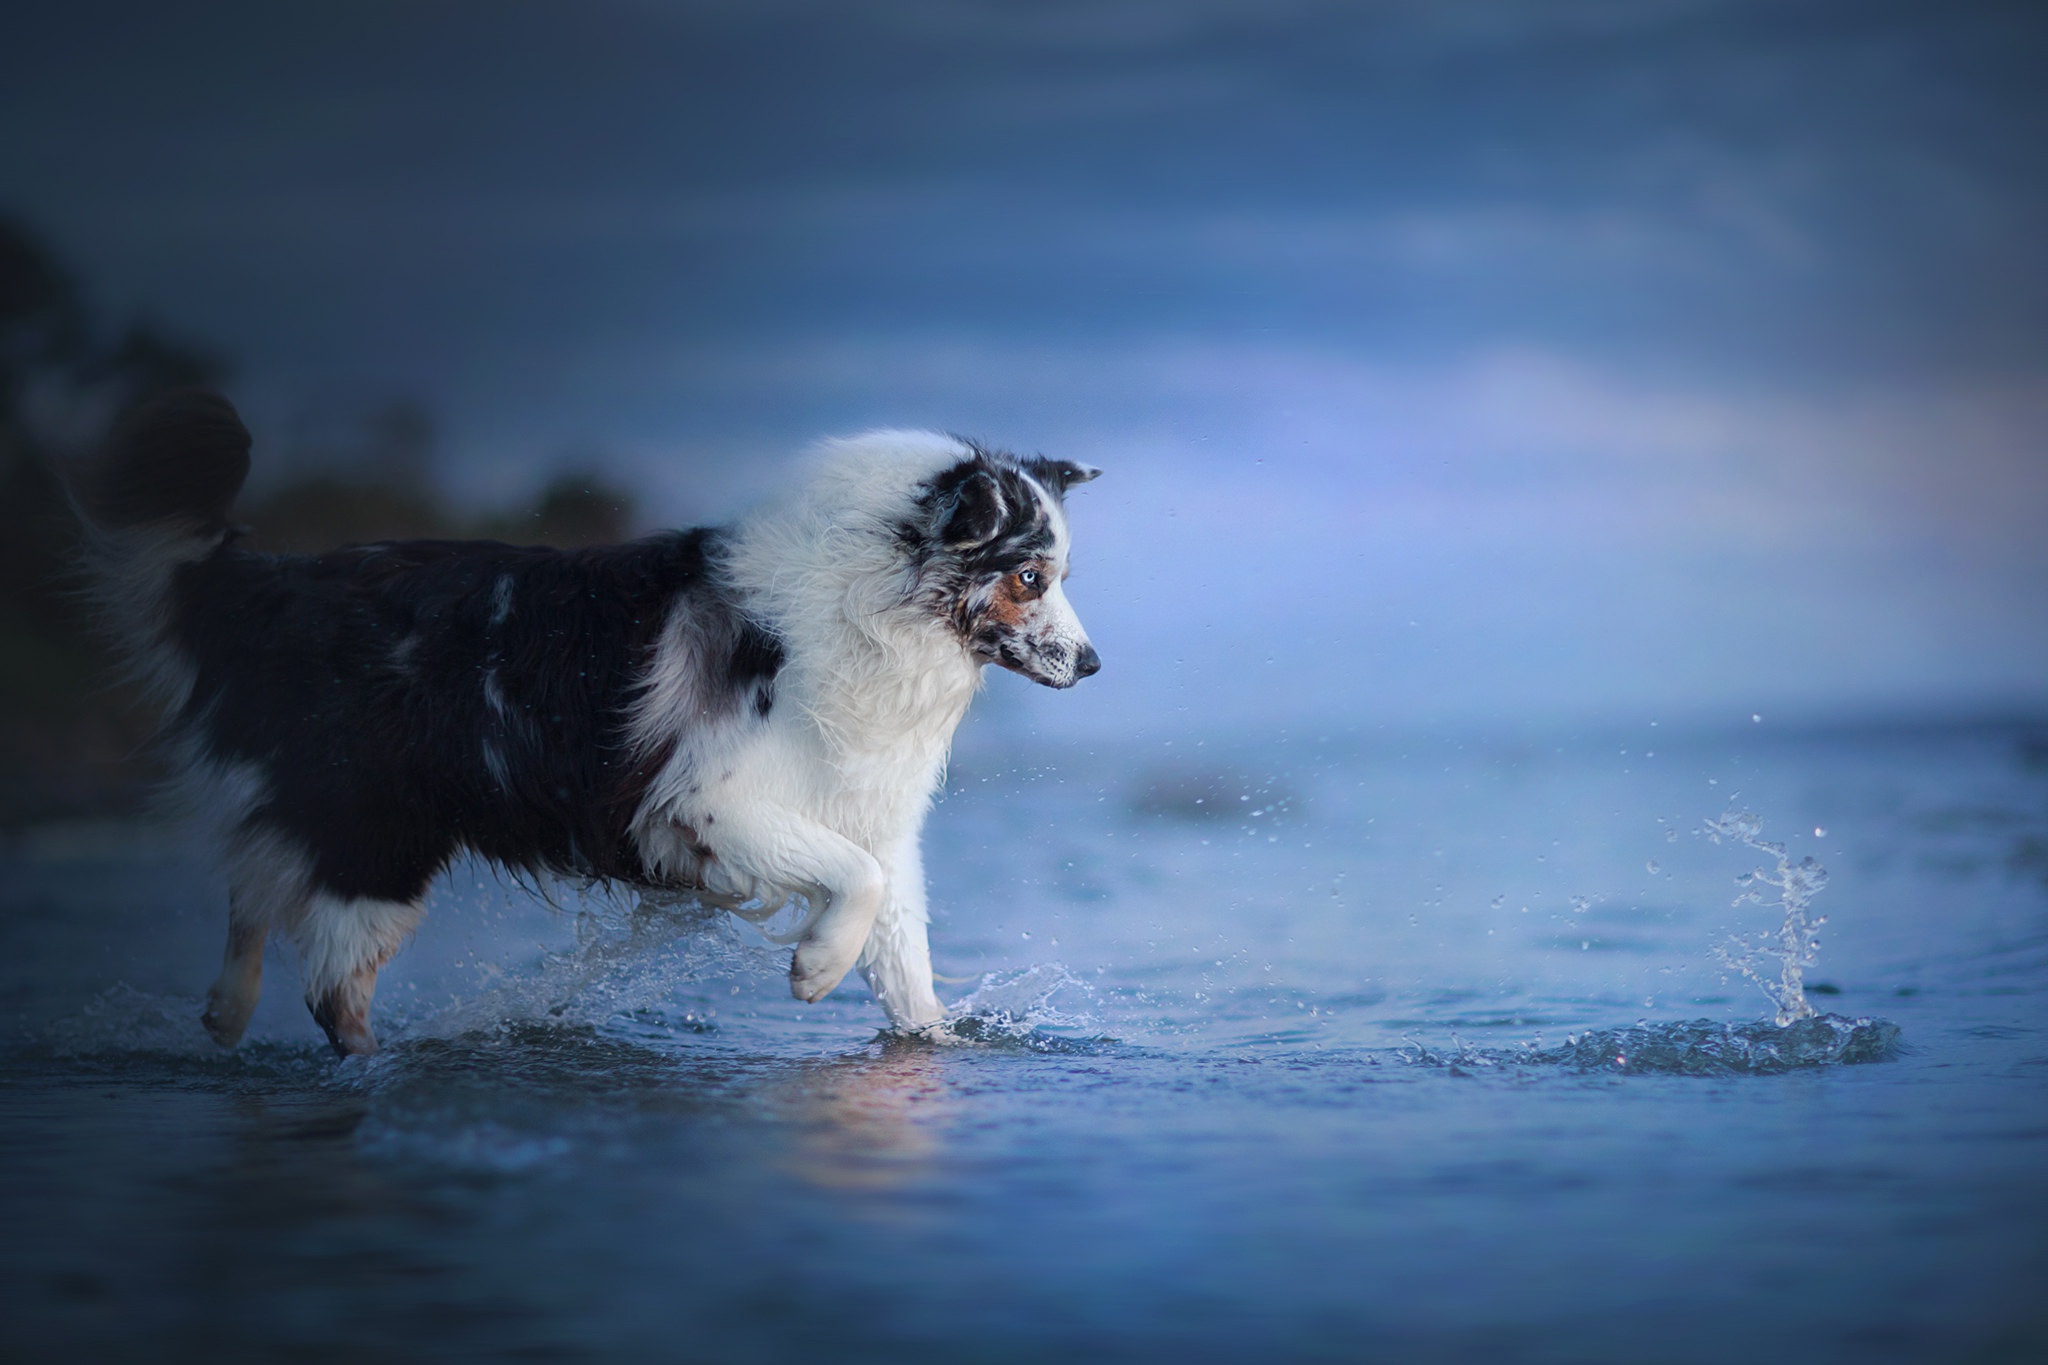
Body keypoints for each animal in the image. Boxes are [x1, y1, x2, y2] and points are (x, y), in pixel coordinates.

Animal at [75, 392, 1105, 1055]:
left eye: (1058, 575)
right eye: (1029, 575)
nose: (1093, 665)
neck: (870, 599)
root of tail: (276, 585)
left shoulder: (869, 807)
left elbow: (902, 952)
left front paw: (925, 1038)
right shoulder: (705, 799)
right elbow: (849, 881)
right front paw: (812, 970)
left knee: (255, 884)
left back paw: (226, 1009)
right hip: (379, 841)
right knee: (331, 986)